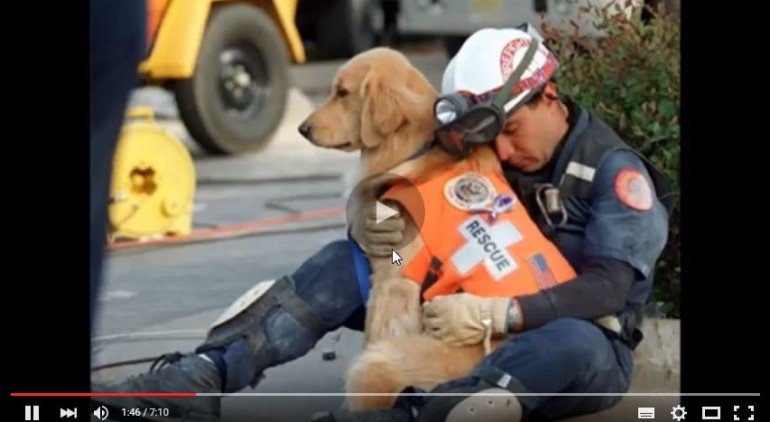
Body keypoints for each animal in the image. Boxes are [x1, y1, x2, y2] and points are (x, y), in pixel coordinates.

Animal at [296, 47, 508, 410]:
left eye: (342, 93)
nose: (302, 128)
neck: (410, 149)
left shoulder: (393, 283)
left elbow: (374, 331)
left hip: (379, 365)